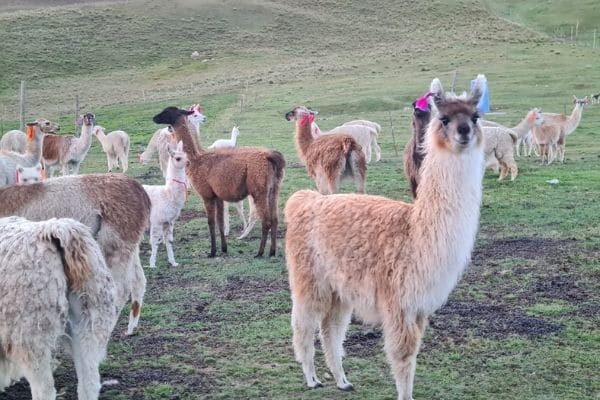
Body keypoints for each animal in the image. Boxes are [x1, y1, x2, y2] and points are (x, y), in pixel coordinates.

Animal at [0, 173, 151, 336]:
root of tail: (138, 189)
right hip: (129, 244)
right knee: (138, 280)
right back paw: (130, 327)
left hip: (115, 241)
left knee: (119, 289)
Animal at [153, 107, 285, 257]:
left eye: (167, 111)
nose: (154, 118)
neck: (196, 159)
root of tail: (270, 156)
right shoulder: (218, 195)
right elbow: (220, 222)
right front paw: (224, 248)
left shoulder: (207, 194)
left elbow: (211, 222)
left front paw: (212, 251)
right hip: (274, 189)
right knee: (274, 220)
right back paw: (272, 251)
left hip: (259, 190)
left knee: (266, 221)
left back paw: (260, 252)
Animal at [284, 76, 486, 399]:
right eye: (443, 118)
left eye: (476, 116)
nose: (464, 131)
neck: (416, 233)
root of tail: (304, 201)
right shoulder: (398, 301)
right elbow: (402, 358)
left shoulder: (418, 307)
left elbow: (410, 354)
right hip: (309, 276)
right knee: (303, 324)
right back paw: (311, 377)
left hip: (339, 286)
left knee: (331, 328)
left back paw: (342, 380)